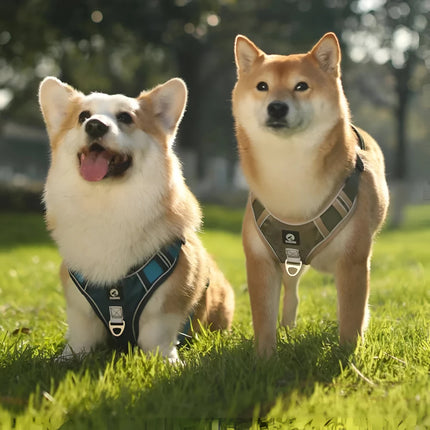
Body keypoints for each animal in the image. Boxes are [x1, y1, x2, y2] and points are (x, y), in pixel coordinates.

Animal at [39, 76, 235, 360]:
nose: (95, 125)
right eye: (83, 116)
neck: (106, 203)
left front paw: (166, 361)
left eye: (125, 117)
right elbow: (80, 338)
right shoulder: (79, 309)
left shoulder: (167, 304)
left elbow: (157, 335)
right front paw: (66, 359)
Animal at [232, 32, 390, 356]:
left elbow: (351, 317)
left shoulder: (353, 261)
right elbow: (263, 318)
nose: (277, 107)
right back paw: (287, 325)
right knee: (291, 291)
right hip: (289, 263)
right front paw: (264, 358)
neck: (290, 176)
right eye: (262, 86)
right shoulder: (260, 260)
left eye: (301, 86)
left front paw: (346, 357)